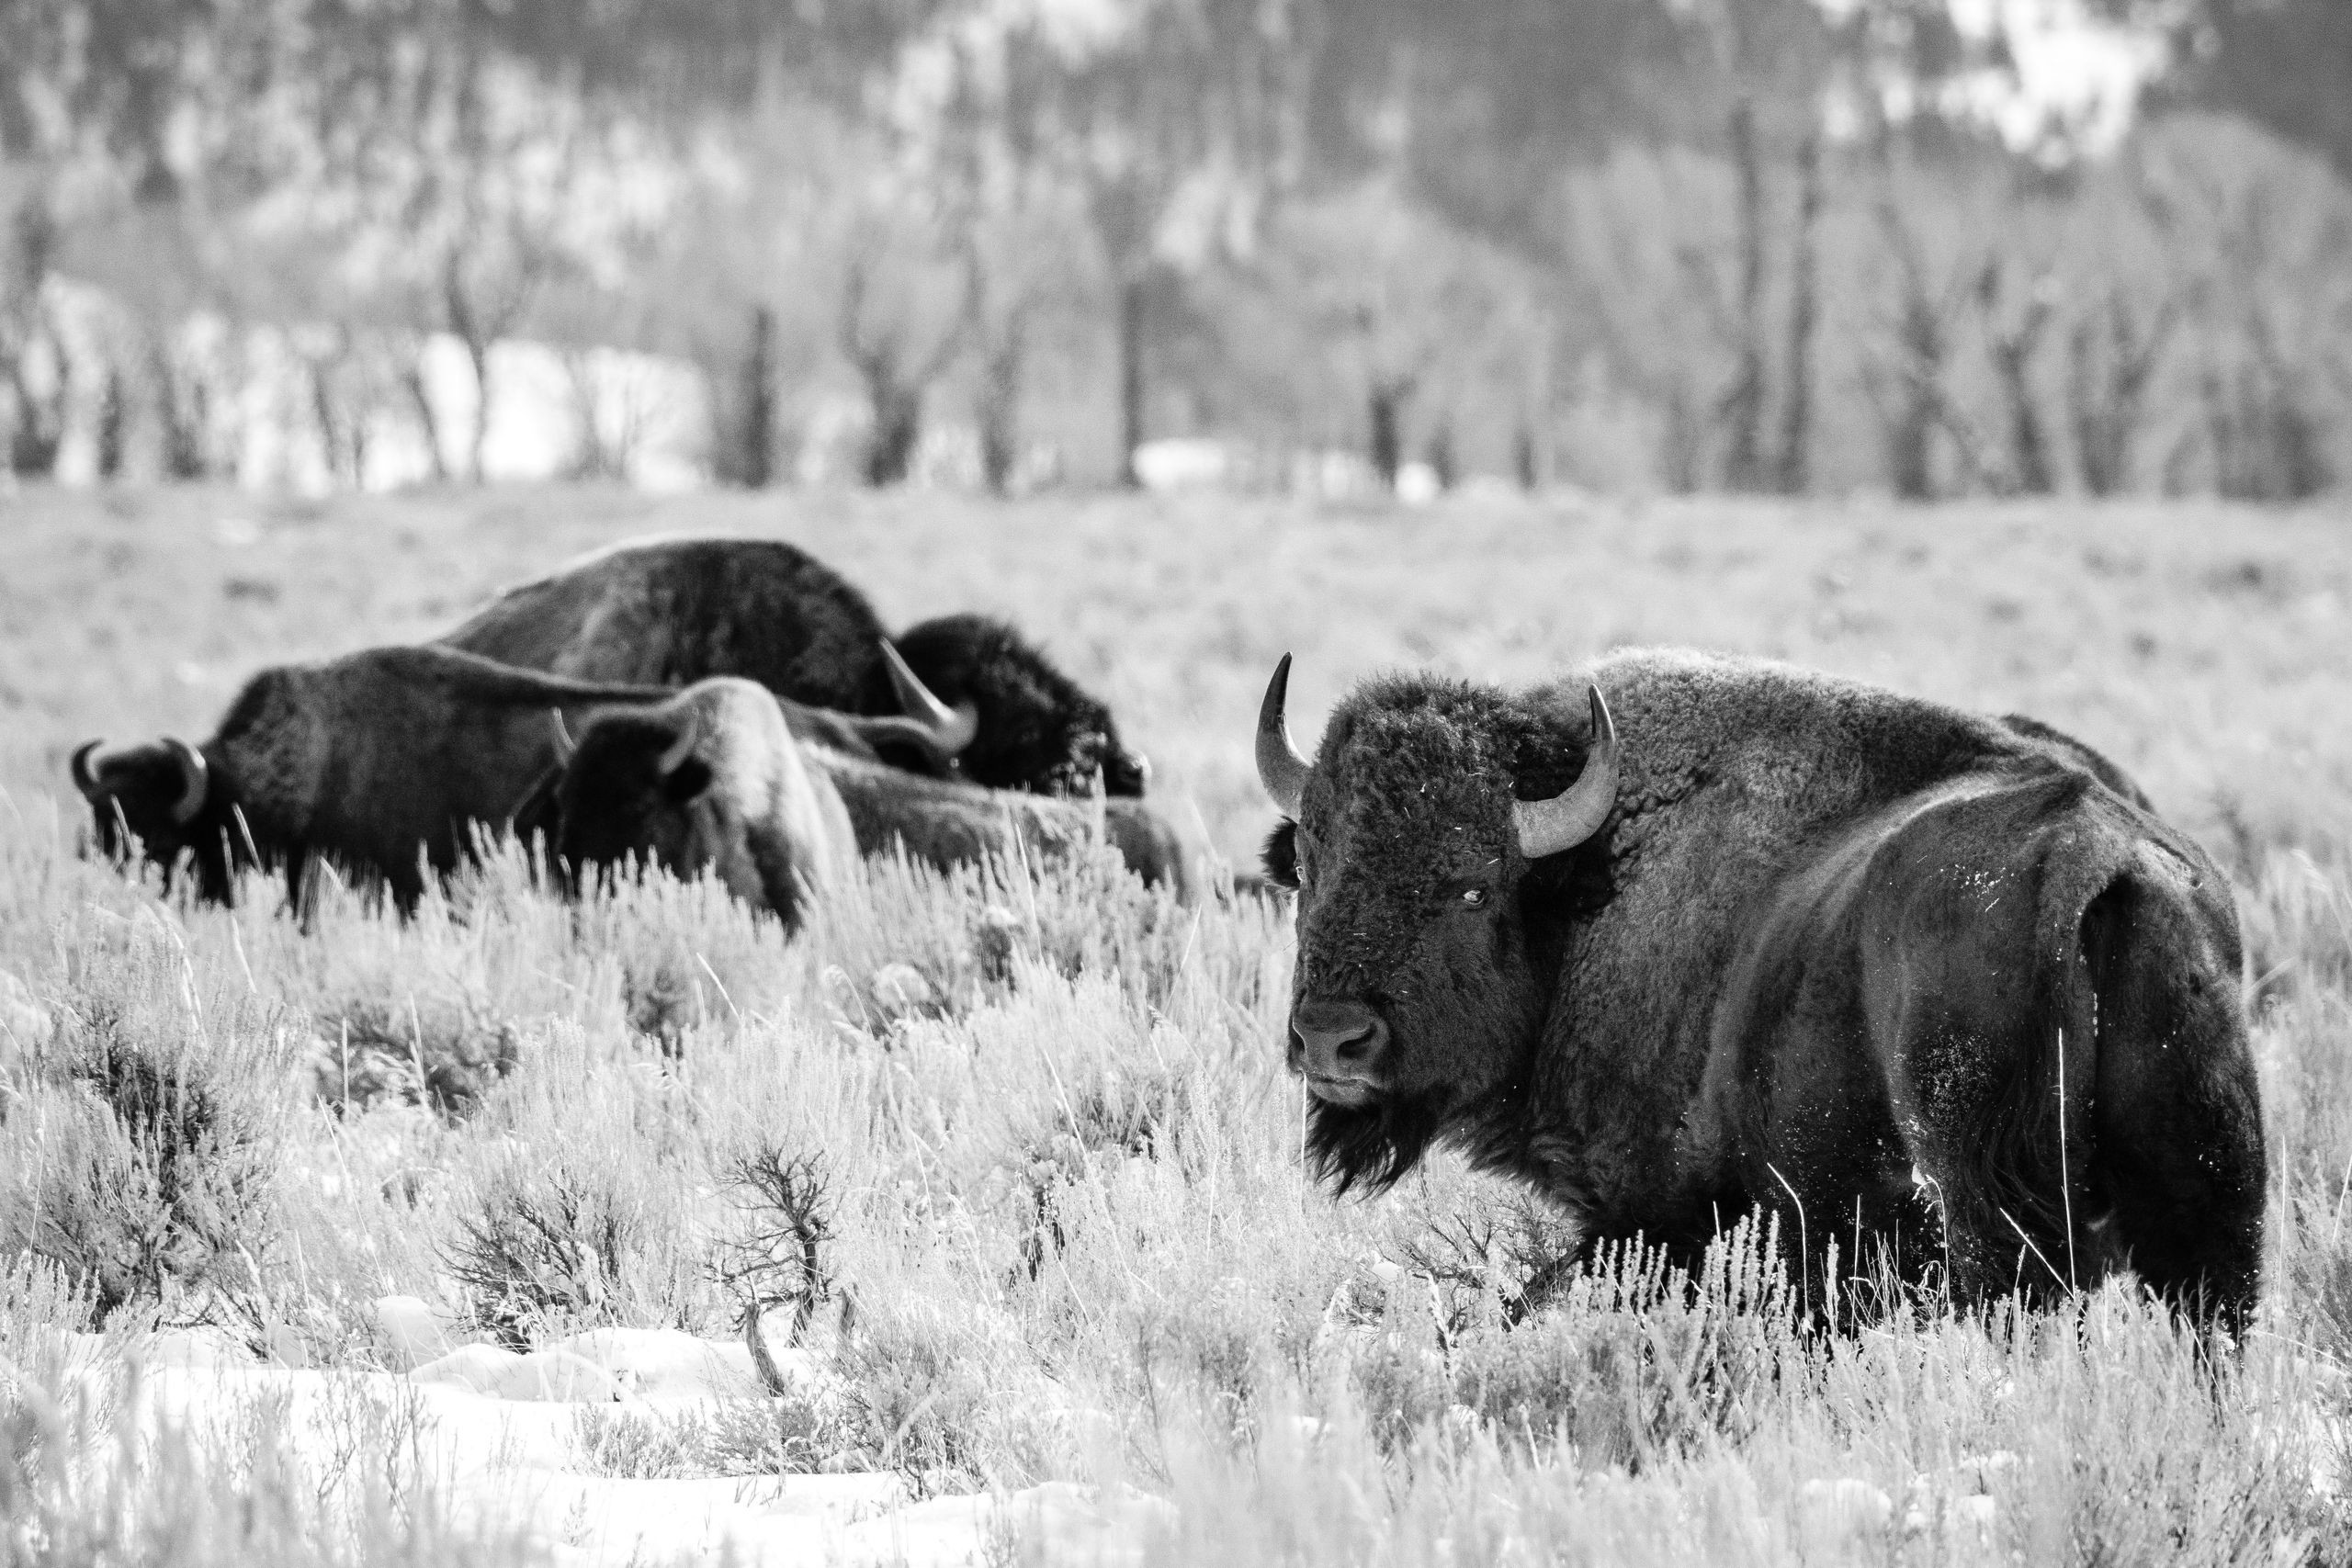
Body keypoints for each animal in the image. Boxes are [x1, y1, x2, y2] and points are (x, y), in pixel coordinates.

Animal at [1261, 644, 2267, 1335]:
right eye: (1309, 863)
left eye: (1472, 885)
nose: (1332, 1037)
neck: (1590, 883)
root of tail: (2088, 852)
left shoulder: (1653, 1214)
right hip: (2213, 1218)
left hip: (1990, 1219)